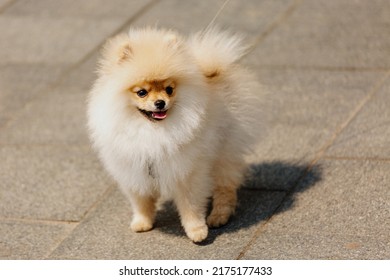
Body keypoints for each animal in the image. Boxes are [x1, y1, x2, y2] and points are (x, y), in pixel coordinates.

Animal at [88, 27, 264, 242]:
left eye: (169, 89)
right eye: (141, 92)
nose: (160, 103)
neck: (151, 130)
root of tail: (213, 73)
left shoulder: (187, 170)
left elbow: (191, 206)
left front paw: (197, 231)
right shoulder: (134, 169)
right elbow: (141, 200)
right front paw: (142, 222)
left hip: (223, 151)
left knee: (226, 186)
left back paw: (219, 216)